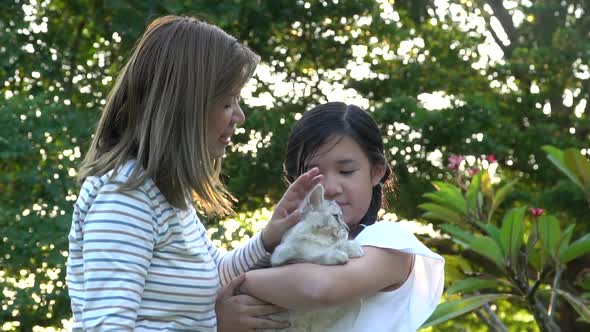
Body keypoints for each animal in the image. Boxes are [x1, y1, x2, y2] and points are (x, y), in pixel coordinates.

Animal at [266, 183, 364, 330]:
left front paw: (351, 247)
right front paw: (338, 254)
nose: (347, 229)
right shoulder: (285, 253)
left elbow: (336, 244)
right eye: (336, 216)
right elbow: (314, 252)